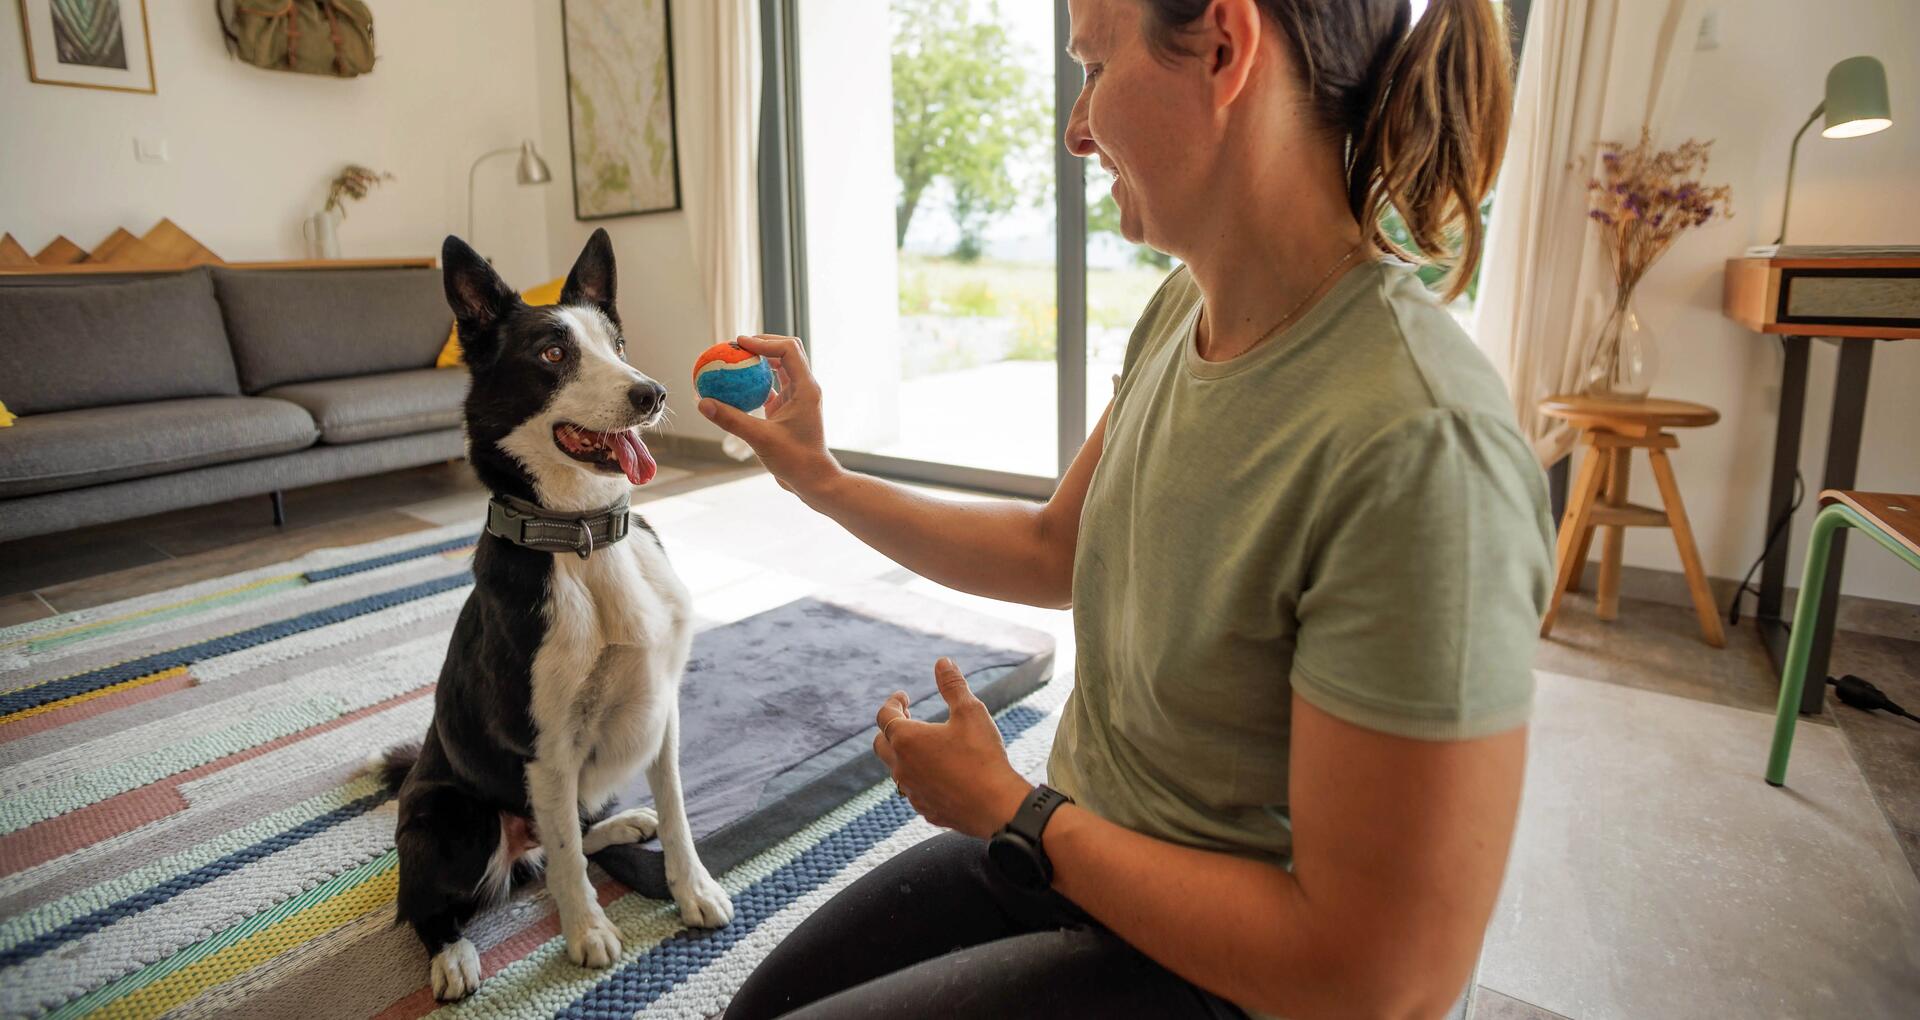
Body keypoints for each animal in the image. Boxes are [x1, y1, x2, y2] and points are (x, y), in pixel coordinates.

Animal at [382, 229, 733, 998]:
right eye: (551, 354)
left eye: (618, 344)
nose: (652, 393)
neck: (582, 535)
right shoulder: (543, 747)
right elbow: (570, 860)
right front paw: (588, 932)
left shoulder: (662, 710)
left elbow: (676, 812)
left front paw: (692, 890)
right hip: (454, 819)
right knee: (435, 900)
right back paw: (451, 957)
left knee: (560, 837)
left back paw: (624, 826)